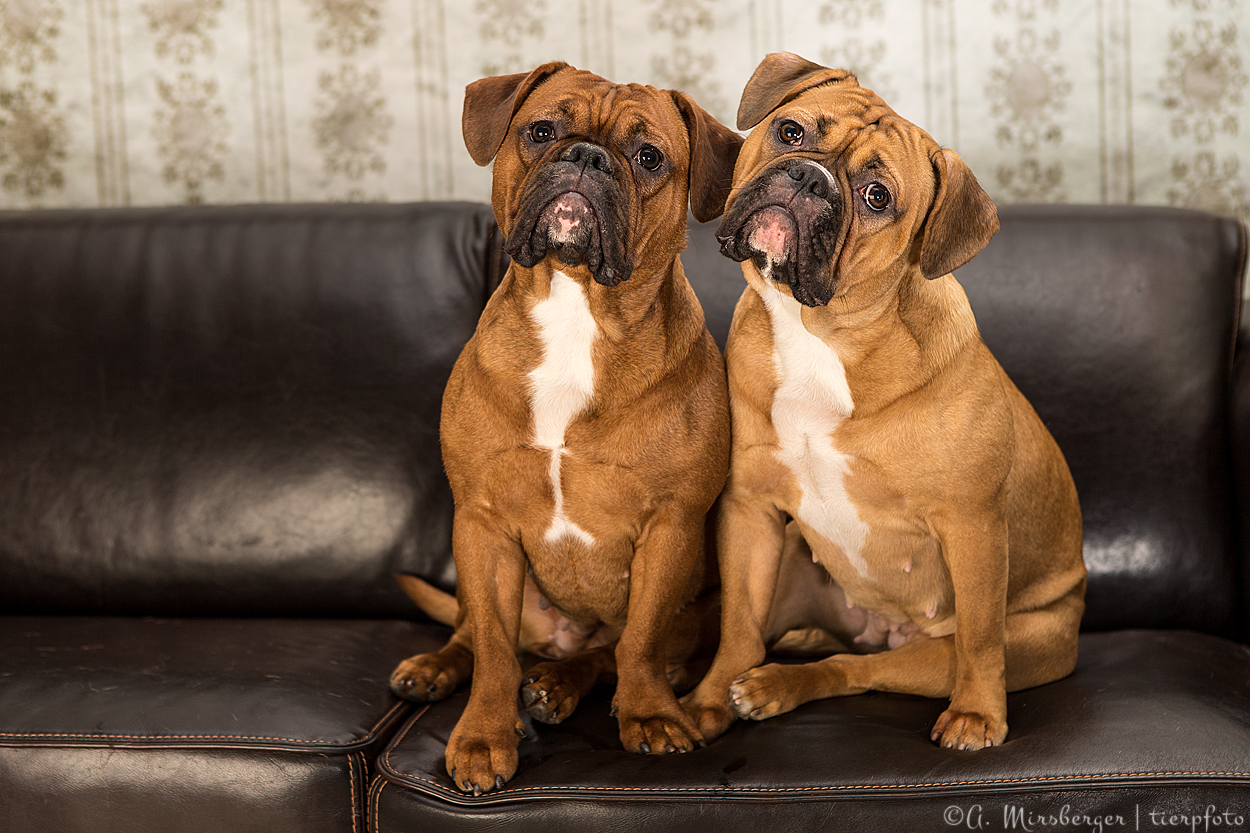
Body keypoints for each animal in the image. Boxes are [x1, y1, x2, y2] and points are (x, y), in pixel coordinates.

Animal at [387, 60, 740, 790]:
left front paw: (649, 715)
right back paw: (440, 666)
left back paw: (559, 683)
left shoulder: (671, 527)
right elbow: (494, 650)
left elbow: (639, 640)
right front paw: (484, 735)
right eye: (542, 131)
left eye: (649, 156)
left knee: (610, 653)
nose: (585, 156)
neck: (579, 309)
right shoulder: (483, 523)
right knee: (472, 631)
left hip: (705, 607)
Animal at [685, 55, 1085, 750]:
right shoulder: (750, 511)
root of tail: (881, 628)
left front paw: (979, 714)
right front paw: (709, 700)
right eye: (790, 132)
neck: (821, 335)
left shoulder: (973, 527)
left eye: (878, 197)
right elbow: (738, 626)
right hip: (790, 571)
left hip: (988, 646)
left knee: (862, 667)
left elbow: (981, 637)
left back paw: (775, 685)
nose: (807, 177)